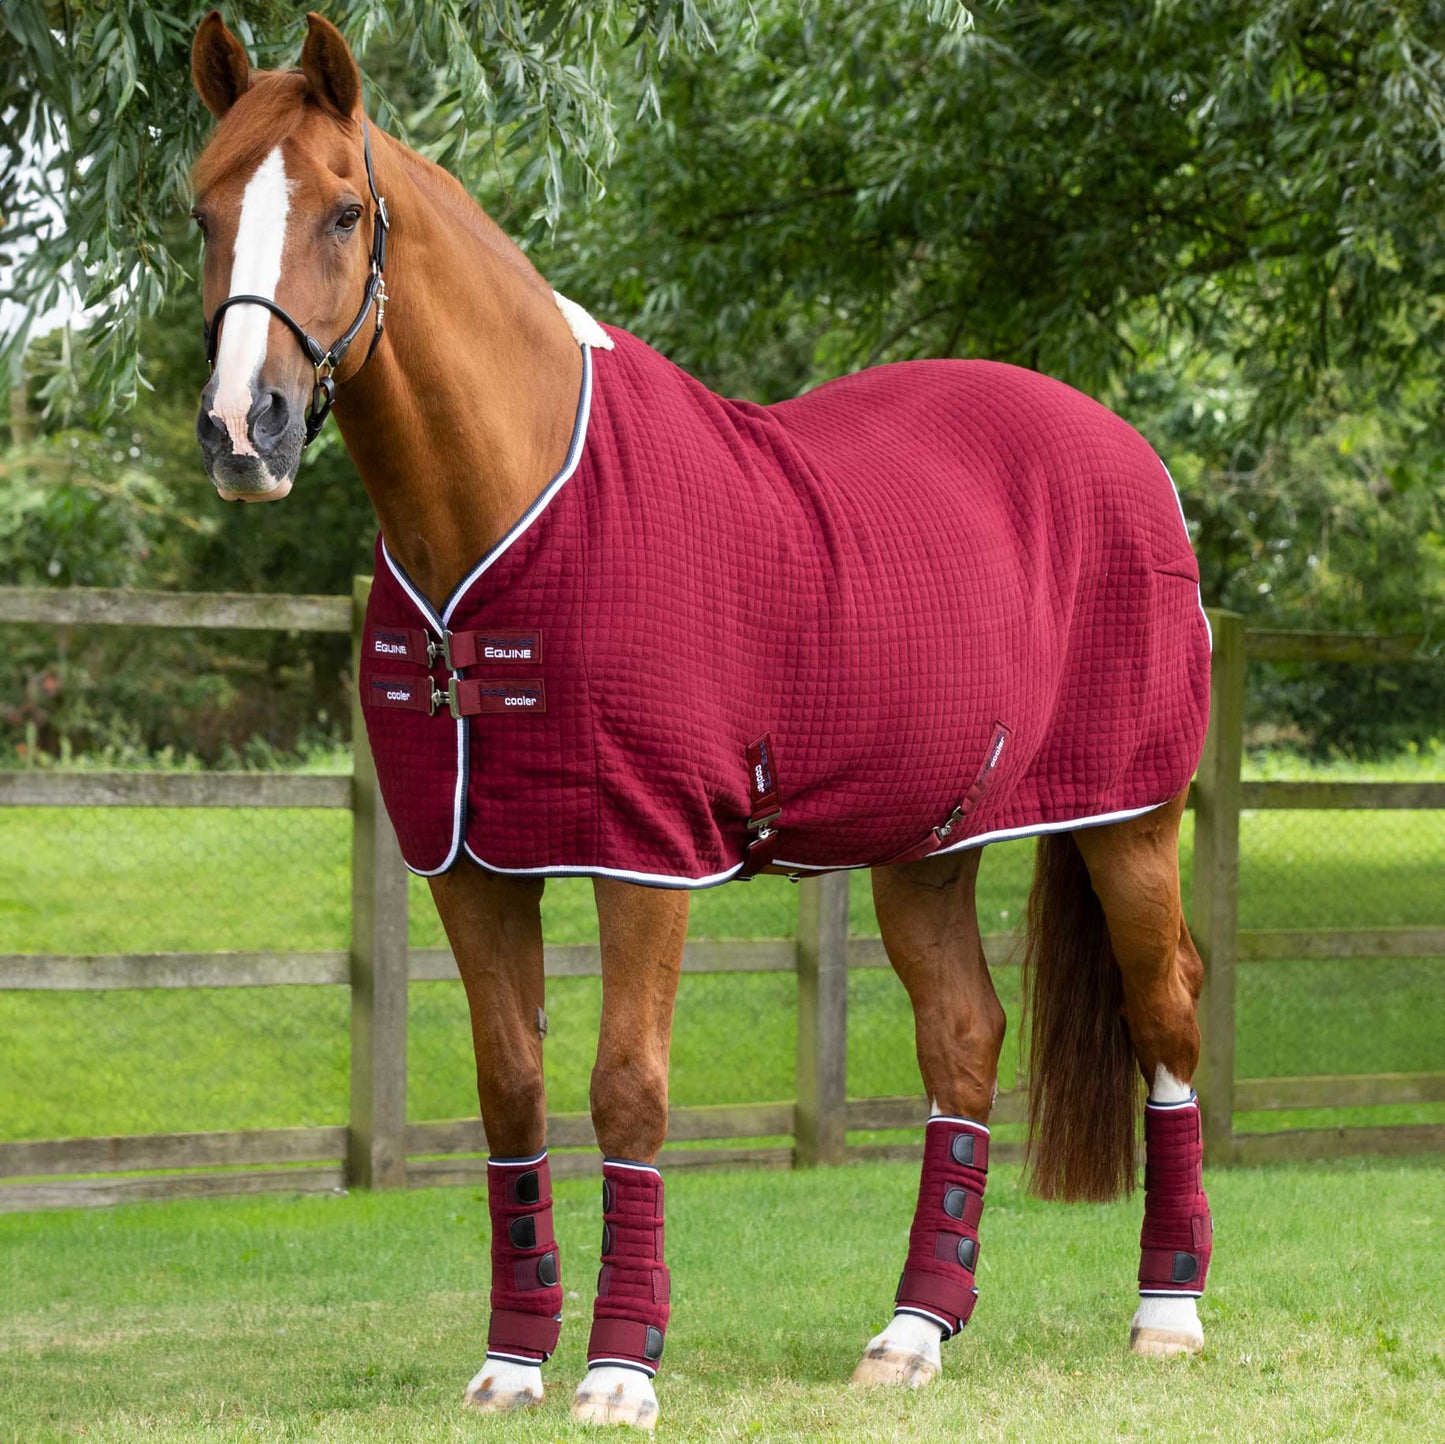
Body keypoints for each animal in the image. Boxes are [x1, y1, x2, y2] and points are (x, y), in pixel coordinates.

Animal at [187, 11, 1215, 1430]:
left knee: (1167, 1011)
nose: (247, 431)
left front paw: (621, 1369)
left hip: (1129, 820)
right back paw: (911, 1333)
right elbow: (510, 1091)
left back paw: (1167, 1314)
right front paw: (512, 1362)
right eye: (201, 210)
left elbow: (625, 1091)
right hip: (925, 844)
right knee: (962, 1040)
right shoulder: (466, 865)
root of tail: (1128, 454)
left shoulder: (644, 853)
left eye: (344, 210)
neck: (512, 508)